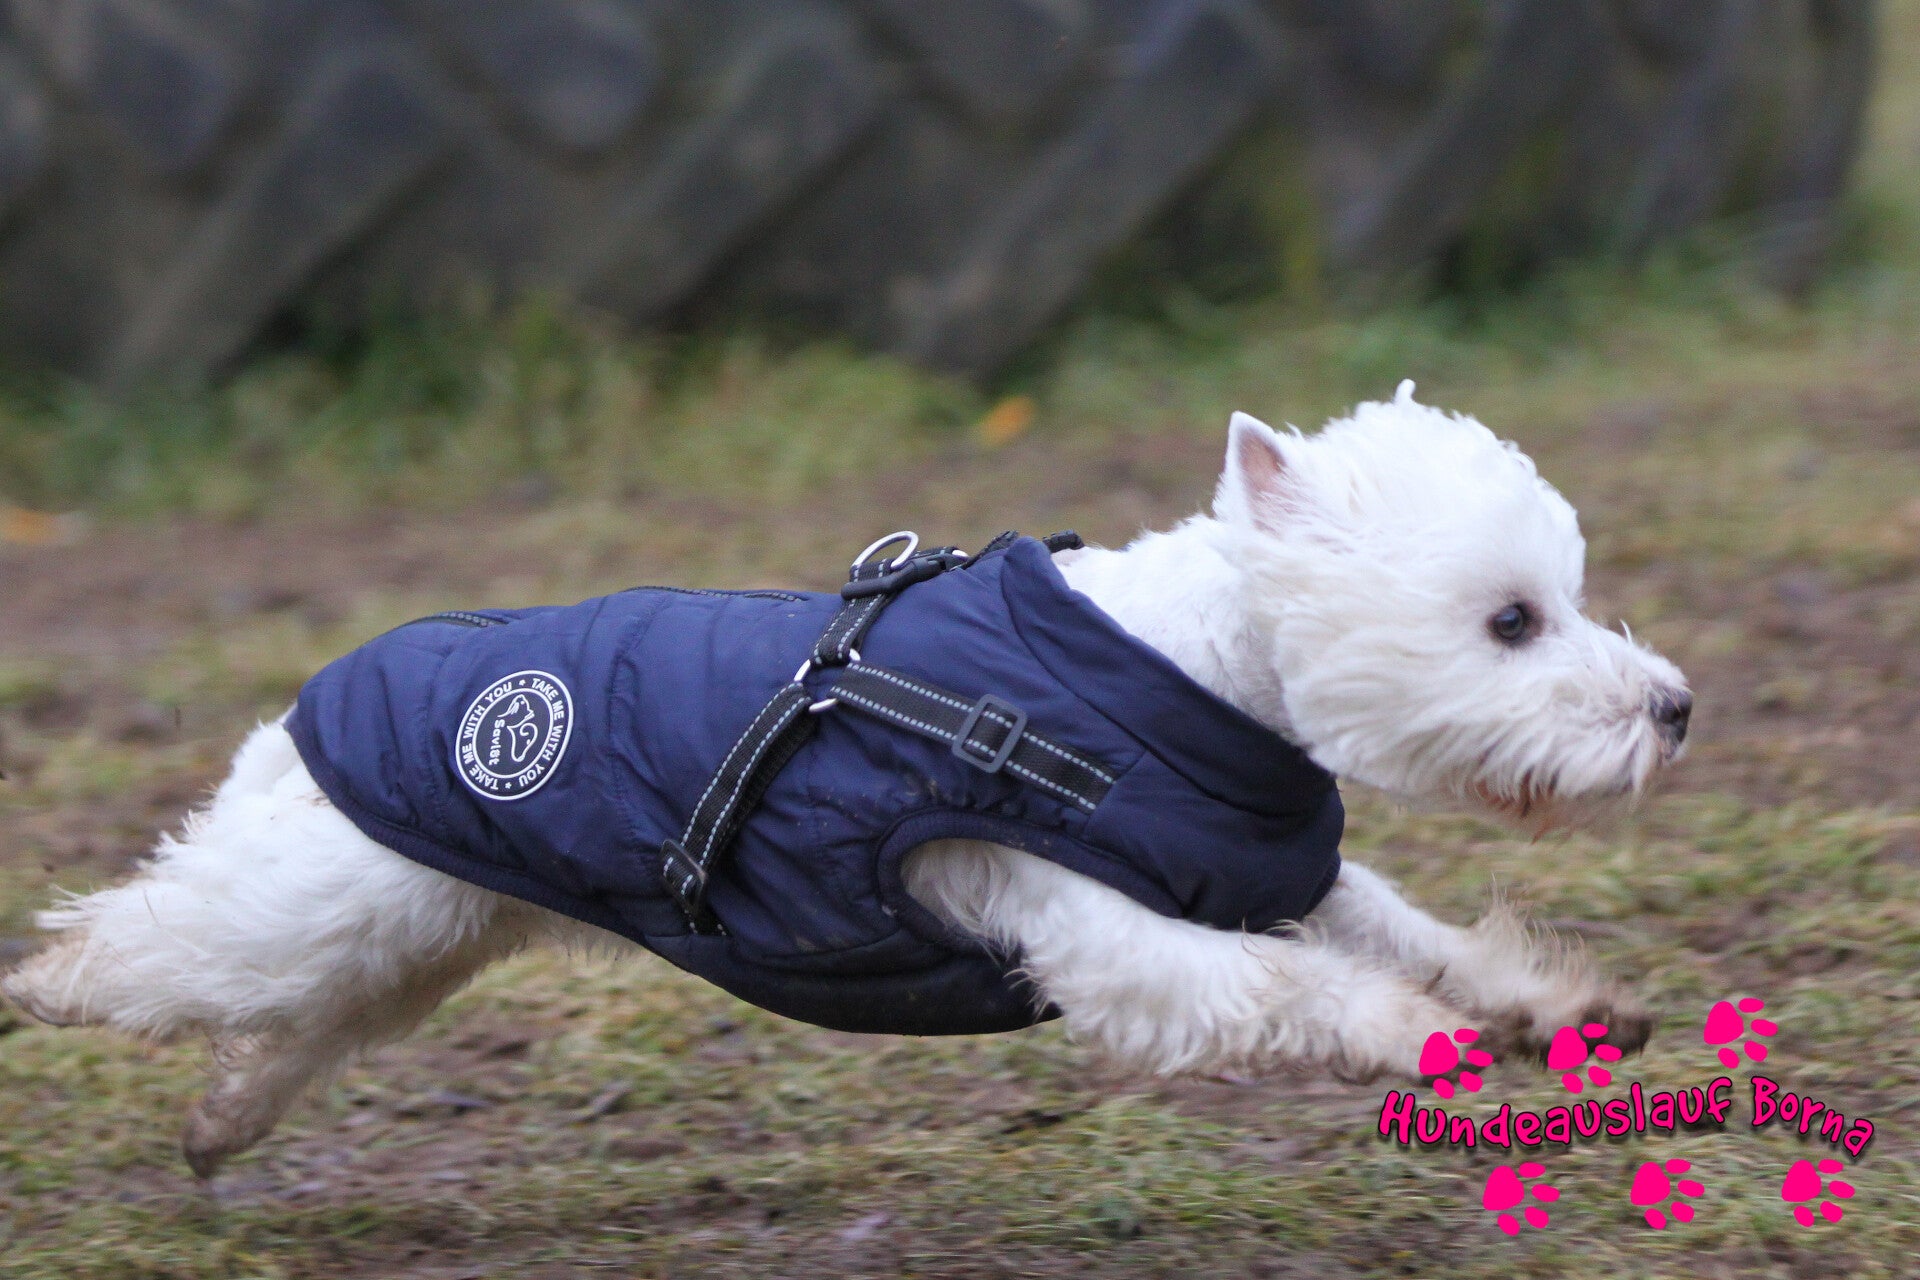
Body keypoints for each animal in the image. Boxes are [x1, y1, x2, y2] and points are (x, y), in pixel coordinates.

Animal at [4, 381, 1689, 1179]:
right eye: (1511, 620)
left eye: (1567, 593)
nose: (1676, 710)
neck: (1174, 683)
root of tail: (300, 712)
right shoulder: (1089, 922)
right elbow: (1287, 986)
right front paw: (1414, 1038)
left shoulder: (1271, 867)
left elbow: (1412, 930)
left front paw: (1542, 1006)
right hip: (306, 908)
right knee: (143, 947)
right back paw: (49, 989)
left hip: (417, 937)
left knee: (291, 1030)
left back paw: (222, 1123)